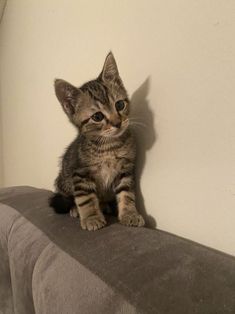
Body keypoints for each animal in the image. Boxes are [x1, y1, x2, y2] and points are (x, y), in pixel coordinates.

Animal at [49, 52, 145, 231]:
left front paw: (129, 214)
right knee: (68, 198)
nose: (117, 123)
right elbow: (86, 198)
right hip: (64, 179)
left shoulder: (125, 169)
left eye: (119, 105)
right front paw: (91, 218)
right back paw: (76, 209)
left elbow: (127, 193)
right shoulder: (80, 173)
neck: (109, 146)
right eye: (97, 117)